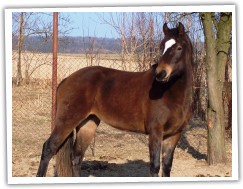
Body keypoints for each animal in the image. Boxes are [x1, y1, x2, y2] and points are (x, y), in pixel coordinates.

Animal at [36, 22, 192, 177]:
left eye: (179, 47)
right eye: (162, 47)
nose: (160, 74)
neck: (169, 93)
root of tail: (67, 79)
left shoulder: (174, 135)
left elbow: (166, 167)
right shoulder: (155, 133)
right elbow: (154, 167)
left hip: (88, 123)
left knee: (76, 157)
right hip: (67, 121)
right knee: (48, 149)